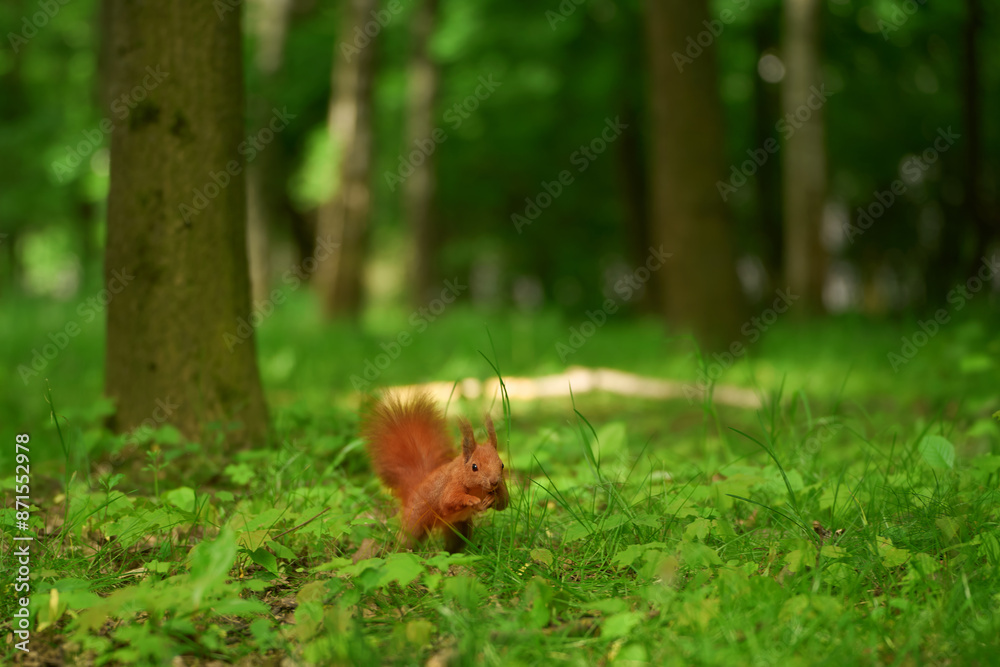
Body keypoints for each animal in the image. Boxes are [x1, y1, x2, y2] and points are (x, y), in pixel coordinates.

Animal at [362, 392, 509, 553]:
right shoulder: (451, 484)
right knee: (407, 539)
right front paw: (470, 500)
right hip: (414, 521)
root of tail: (415, 488)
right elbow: (448, 500)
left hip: (459, 528)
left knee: (455, 545)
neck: (477, 488)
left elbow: (504, 503)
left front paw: (492, 499)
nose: (494, 481)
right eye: (474, 467)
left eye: (502, 465)